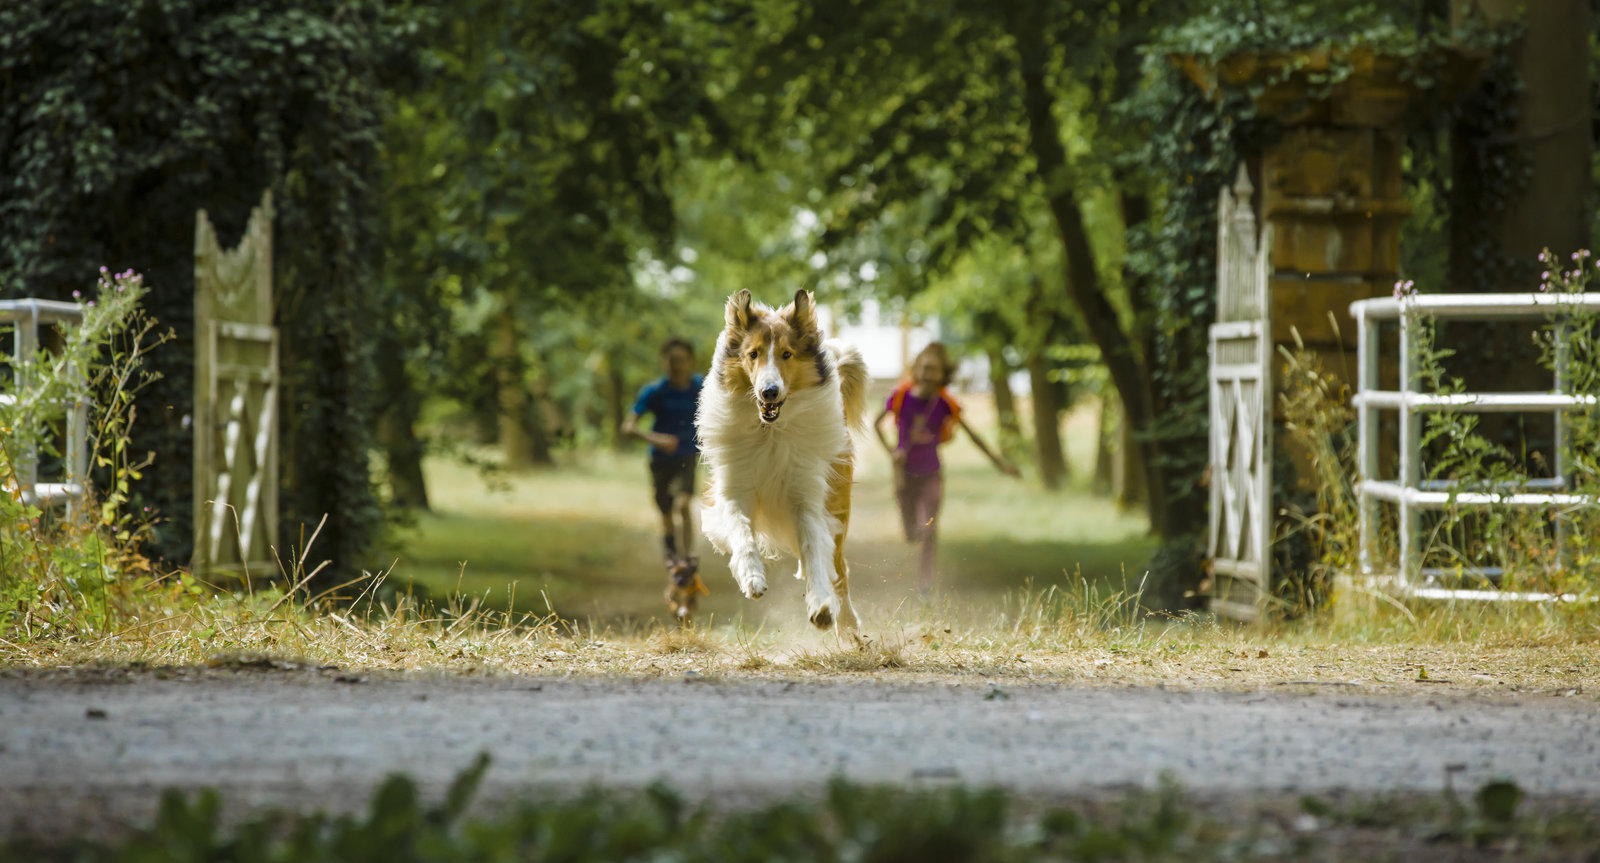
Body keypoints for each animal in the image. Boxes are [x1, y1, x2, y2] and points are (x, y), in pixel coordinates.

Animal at [700, 286, 870, 630]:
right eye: (753, 354)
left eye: (787, 354)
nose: (769, 392)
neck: (770, 431)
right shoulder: (734, 489)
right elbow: (741, 531)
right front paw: (752, 578)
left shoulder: (806, 496)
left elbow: (814, 547)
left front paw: (821, 606)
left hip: (838, 507)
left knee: (839, 570)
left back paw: (847, 623)